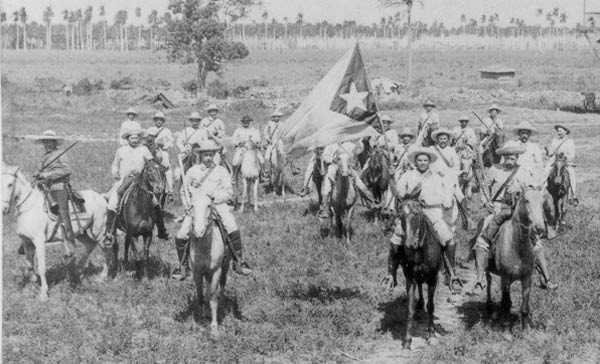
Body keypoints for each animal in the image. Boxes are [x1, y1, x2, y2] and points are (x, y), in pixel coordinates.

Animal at [1, 164, 112, 300]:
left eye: (10, 184)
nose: (3, 209)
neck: (29, 207)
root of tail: (102, 197)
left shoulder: (39, 242)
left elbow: (41, 267)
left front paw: (43, 293)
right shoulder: (27, 242)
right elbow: (29, 266)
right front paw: (31, 283)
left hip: (99, 231)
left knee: (106, 251)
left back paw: (102, 277)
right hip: (80, 234)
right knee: (90, 244)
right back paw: (79, 270)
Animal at [190, 195, 230, 334]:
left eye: (208, 205)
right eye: (192, 205)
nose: (198, 231)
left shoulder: (215, 271)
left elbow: (213, 297)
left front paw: (214, 327)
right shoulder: (197, 272)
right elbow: (200, 296)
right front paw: (201, 321)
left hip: (224, 267)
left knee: (222, 286)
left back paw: (221, 307)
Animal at [396, 199, 442, 350]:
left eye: (416, 214)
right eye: (400, 216)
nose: (410, 244)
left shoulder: (433, 279)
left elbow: (431, 306)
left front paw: (432, 334)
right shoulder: (410, 279)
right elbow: (410, 309)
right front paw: (407, 341)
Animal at [474, 186, 548, 332]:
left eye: (542, 201)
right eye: (526, 200)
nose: (540, 228)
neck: (517, 246)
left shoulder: (527, 279)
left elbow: (524, 307)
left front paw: (525, 331)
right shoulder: (505, 278)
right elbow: (506, 304)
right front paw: (507, 331)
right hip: (486, 268)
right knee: (488, 282)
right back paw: (488, 305)